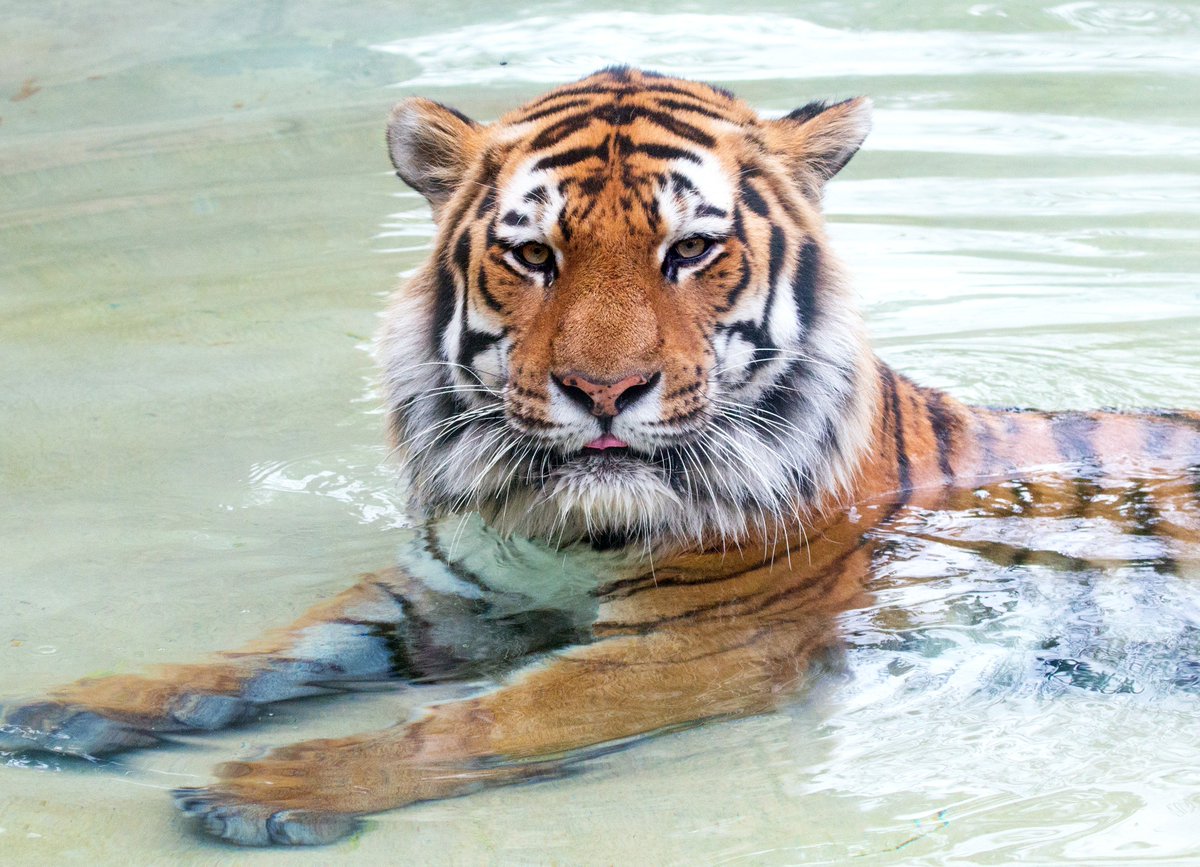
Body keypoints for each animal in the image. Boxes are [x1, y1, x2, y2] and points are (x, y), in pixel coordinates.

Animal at [2, 66, 1199, 847]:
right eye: (533, 254)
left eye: (693, 250)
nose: (606, 391)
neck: (559, 530)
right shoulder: (458, 588)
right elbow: (278, 648)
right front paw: (80, 708)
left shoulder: (706, 643)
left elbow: (499, 712)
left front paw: (280, 782)